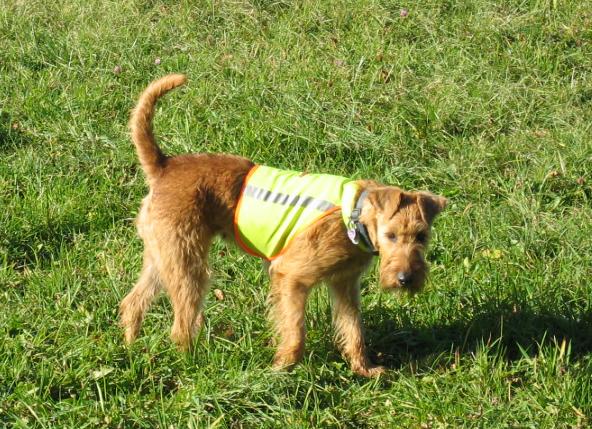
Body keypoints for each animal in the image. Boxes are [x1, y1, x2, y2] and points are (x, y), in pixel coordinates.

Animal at [119, 74, 447, 377]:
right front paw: (281, 370)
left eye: (421, 236)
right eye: (390, 235)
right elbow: (295, 332)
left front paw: (364, 369)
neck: (354, 216)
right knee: (180, 324)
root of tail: (164, 165)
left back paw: (131, 348)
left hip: (163, 256)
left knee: (133, 302)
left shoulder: (344, 284)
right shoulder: (291, 276)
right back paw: (194, 363)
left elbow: (353, 329)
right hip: (189, 263)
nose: (406, 279)